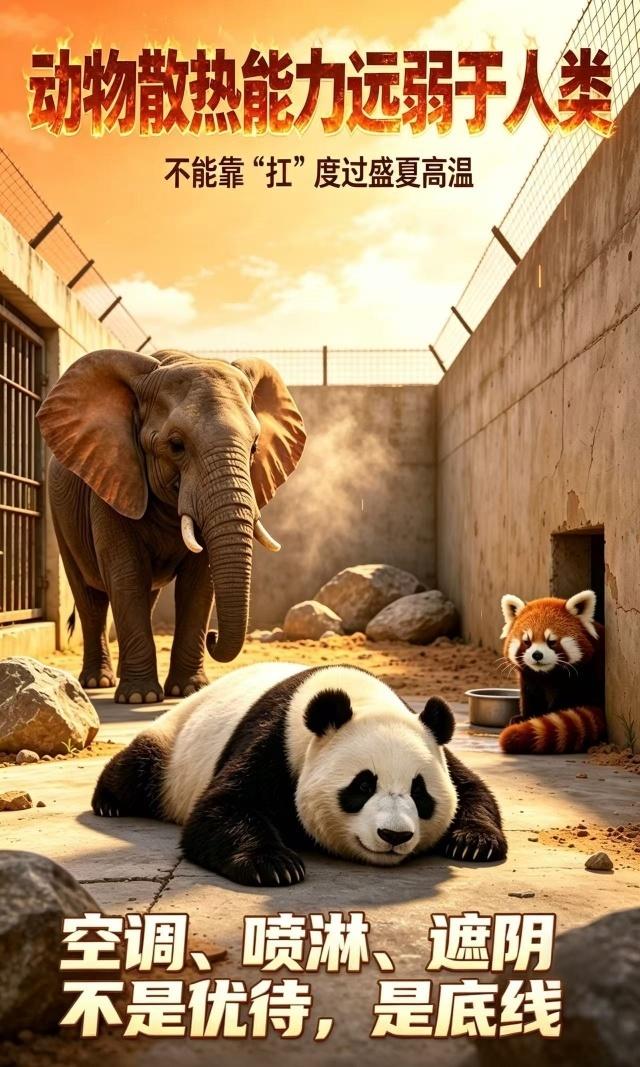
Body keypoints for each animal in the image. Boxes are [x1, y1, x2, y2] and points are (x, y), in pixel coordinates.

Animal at [36, 349, 305, 704]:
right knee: (90, 598)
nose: (213, 636)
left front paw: (188, 690)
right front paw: (140, 698)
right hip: (60, 516)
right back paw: (98, 681)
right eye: (176, 445)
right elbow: (126, 574)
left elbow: (198, 583)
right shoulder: (113, 479)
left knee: (145, 596)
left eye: (254, 448)